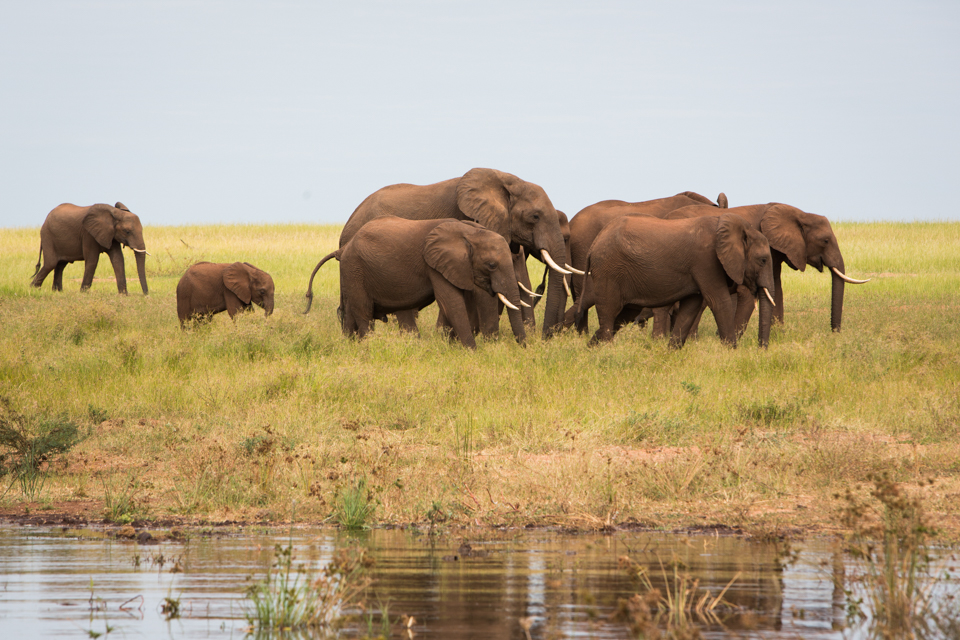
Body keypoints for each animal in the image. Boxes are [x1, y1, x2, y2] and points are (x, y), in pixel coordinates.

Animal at [306, 216, 524, 348]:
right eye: (491, 265)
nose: (524, 347)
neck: (468, 231)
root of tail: (343, 249)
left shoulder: (459, 267)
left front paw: (451, 346)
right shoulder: (434, 264)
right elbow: (451, 302)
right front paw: (472, 351)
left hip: (352, 272)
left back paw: (352, 345)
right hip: (354, 268)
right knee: (364, 312)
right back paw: (369, 345)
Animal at [572, 212, 776, 348]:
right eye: (763, 260)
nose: (761, 348)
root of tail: (594, 244)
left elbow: (691, 307)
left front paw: (671, 351)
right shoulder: (706, 261)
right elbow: (719, 301)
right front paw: (731, 352)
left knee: (622, 316)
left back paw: (590, 350)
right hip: (609, 271)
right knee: (609, 313)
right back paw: (607, 351)